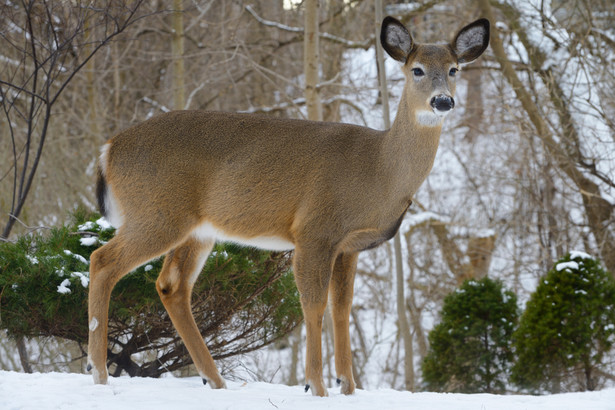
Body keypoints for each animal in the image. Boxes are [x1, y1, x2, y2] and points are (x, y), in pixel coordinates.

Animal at [86, 16, 490, 398]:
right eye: (416, 70)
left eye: (454, 69)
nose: (442, 101)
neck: (378, 171)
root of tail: (109, 148)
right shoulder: (315, 230)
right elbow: (313, 305)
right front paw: (316, 385)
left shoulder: (349, 246)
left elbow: (342, 308)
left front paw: (348, 386)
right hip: (157, 213)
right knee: (102, 261)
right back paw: (99, 373)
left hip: (196, 230)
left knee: (171, 286)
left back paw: (214, 380)